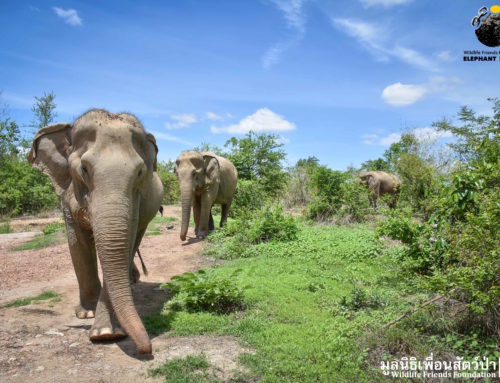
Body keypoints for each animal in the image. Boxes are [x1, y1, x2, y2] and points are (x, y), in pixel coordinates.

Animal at [27, 109, 162, 356]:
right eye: (84, 169)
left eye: (140, 172)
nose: (146, 348)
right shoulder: (67, 196)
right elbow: (77, 243)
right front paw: (86, 314)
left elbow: (124, 243)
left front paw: (106, 333)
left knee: (136, 240)